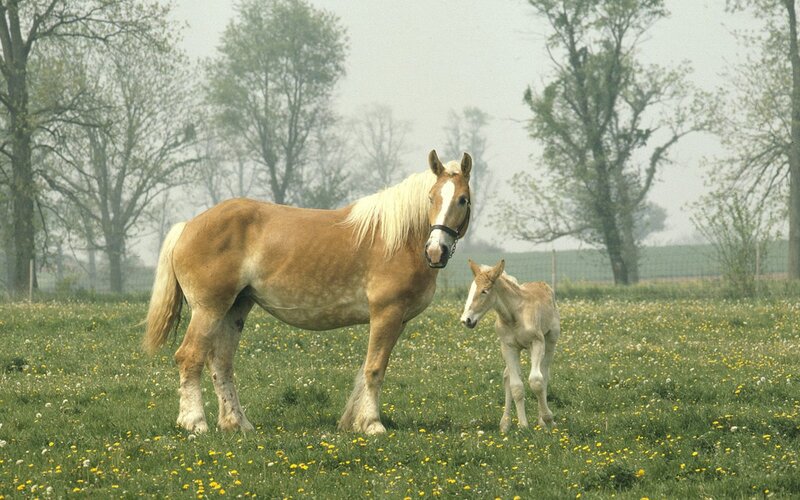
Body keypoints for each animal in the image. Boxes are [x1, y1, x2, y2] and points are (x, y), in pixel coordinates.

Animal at [144, 150, 472, 435]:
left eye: (462, 200)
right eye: (431, 198)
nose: (436, 251)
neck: (400, 239)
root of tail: (188, 226)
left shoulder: (398, 321)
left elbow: (364, 369)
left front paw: (351, 422)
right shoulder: (386, 314)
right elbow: (375, 369)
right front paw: (372, 424)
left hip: (234, 309)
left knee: (221, 364)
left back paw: (238, 424)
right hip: (208, 308)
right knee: (189, 357)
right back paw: (195, 422)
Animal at [460, 259, 560, 432]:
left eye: (484, 291)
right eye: (470, 290)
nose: (466, 320)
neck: (514, 315)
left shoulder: (537, 342)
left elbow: (536, 381)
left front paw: (548, 419)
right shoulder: (508, 347)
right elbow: (516, 386)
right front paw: (523, 425)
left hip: (550, 340)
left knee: (544, 374)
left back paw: (542, 420)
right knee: (507, 376)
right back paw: (505, 423)